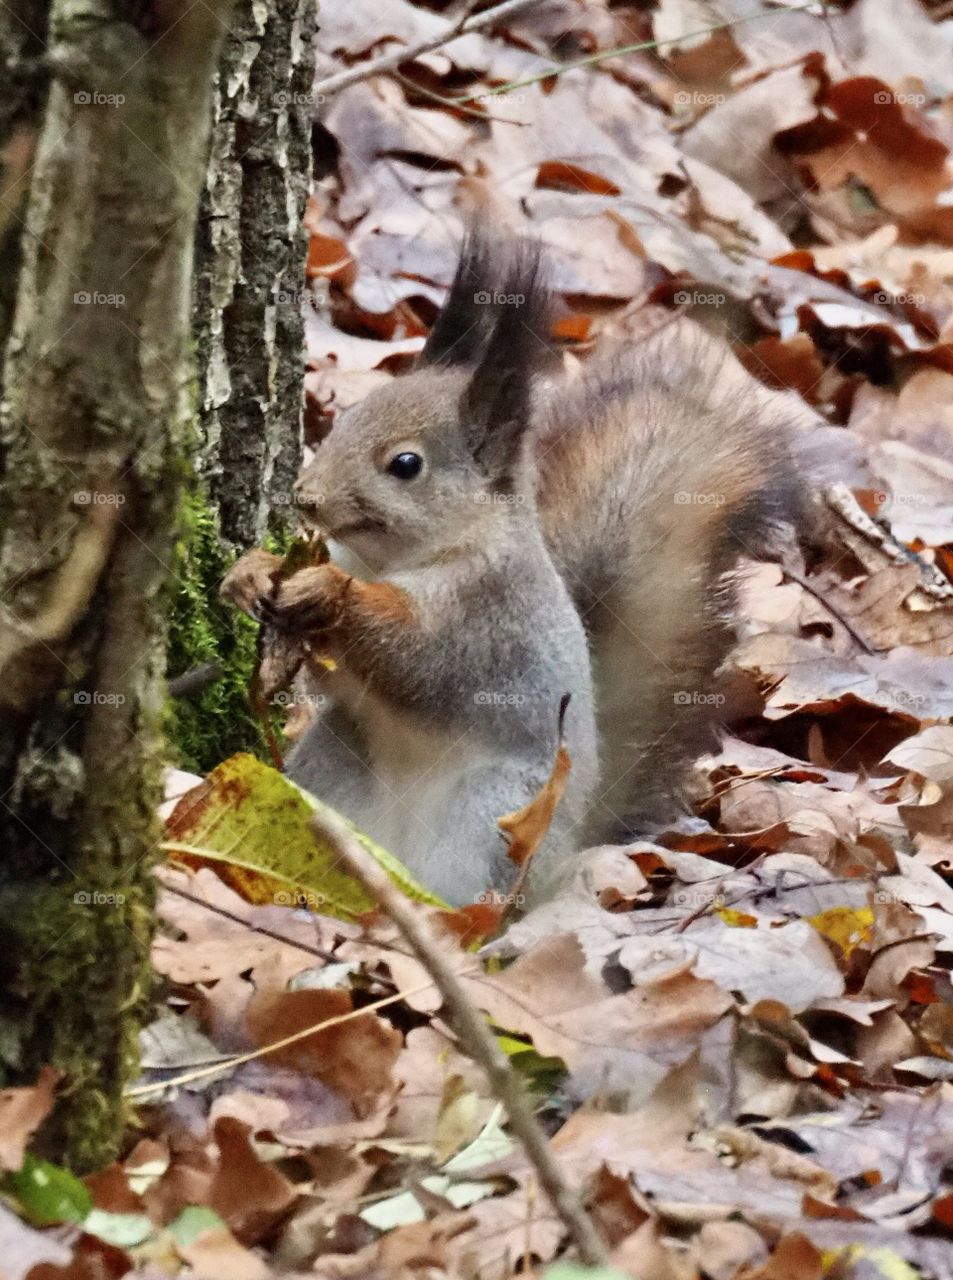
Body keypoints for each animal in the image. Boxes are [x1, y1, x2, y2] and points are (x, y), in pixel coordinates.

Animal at [221, 229, 804, 906]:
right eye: (347, 417)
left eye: (405, 465)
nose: (305, 497)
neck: (394, 559)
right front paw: (253, 572)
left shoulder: (487, 614)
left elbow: (416, 657)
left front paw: (327, 590)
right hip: (332, 768)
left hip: (492, 814)